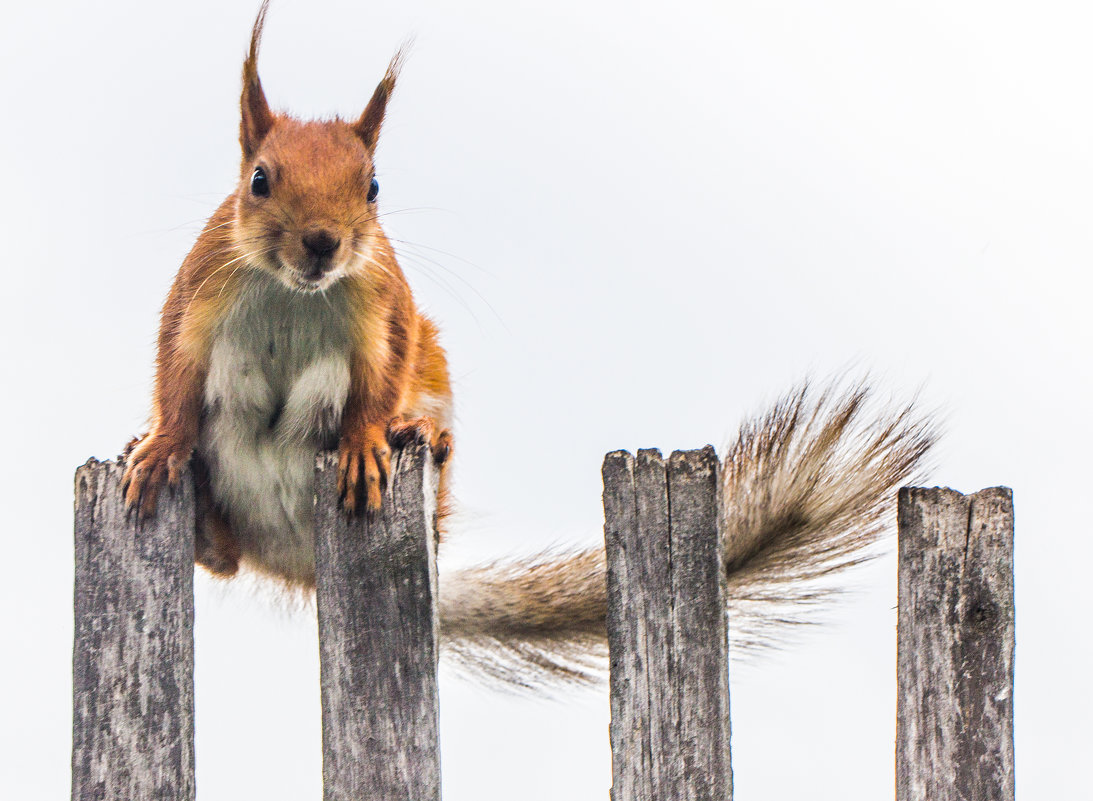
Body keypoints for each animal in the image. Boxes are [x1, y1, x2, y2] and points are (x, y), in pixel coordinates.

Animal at [121, 3, 939, 686]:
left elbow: (378, 384)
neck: (297, 292)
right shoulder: (198, 300)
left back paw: (420, 435)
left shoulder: (385, 316)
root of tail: (299, 562)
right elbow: (173, 378)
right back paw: (202, 520)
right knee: (222, 558)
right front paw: (160, 446)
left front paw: (363, 441)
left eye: (372, 187)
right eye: (259, 180)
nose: (323, 242)